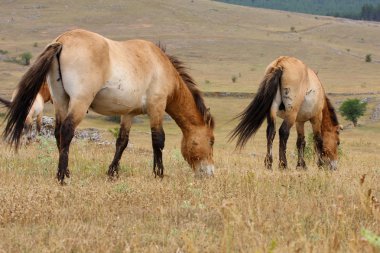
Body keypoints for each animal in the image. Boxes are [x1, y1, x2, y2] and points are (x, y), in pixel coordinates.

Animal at [2, 29, 215, 184]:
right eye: (211, 141)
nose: (210, 173)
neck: (161, 66)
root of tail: (63, 40)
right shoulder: (157, 107)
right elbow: (158, 140)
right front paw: (159, 174)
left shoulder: (128, 113)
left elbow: (122, 142)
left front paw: (112, 173)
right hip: (80, 102)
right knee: (67, 130)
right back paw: (62, 177)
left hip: (61, 100)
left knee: (58, 133)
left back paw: (67, 172)